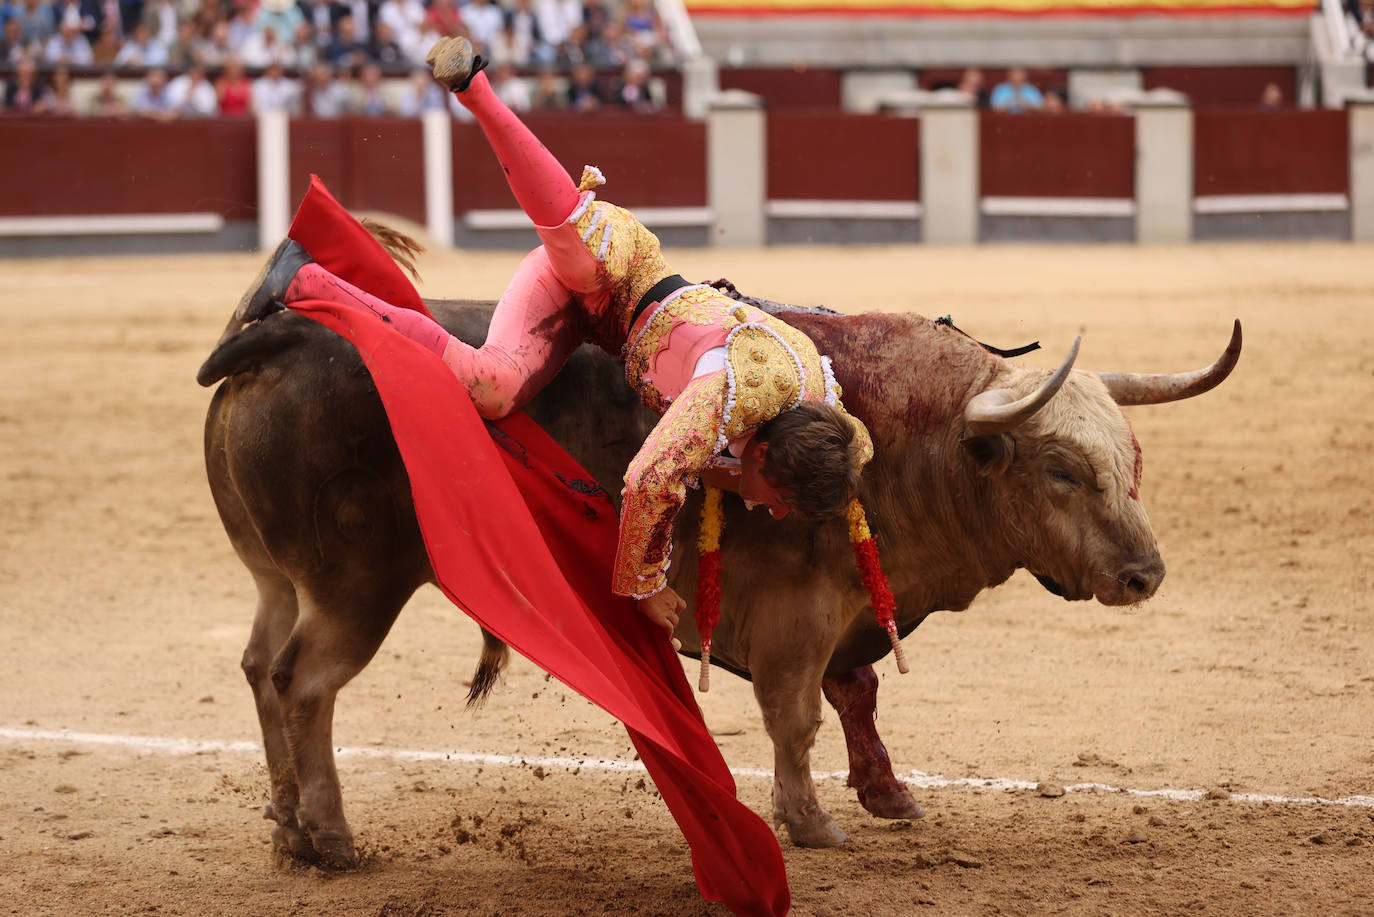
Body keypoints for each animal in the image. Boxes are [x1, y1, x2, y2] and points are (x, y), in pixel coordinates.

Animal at [199, 274, 1242, 868]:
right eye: (1061, 470)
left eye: (1132, 458)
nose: (1145, 573)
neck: (912, 434)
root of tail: (282, 333)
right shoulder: (798, 609)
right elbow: (798, 713)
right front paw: (810, 821)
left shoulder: (848, 607)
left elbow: (857, 691)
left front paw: (886, 793)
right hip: (356, 587)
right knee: (306, 682)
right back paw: (332, 840)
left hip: (278, 580)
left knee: (258, 667)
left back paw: (286, 822)